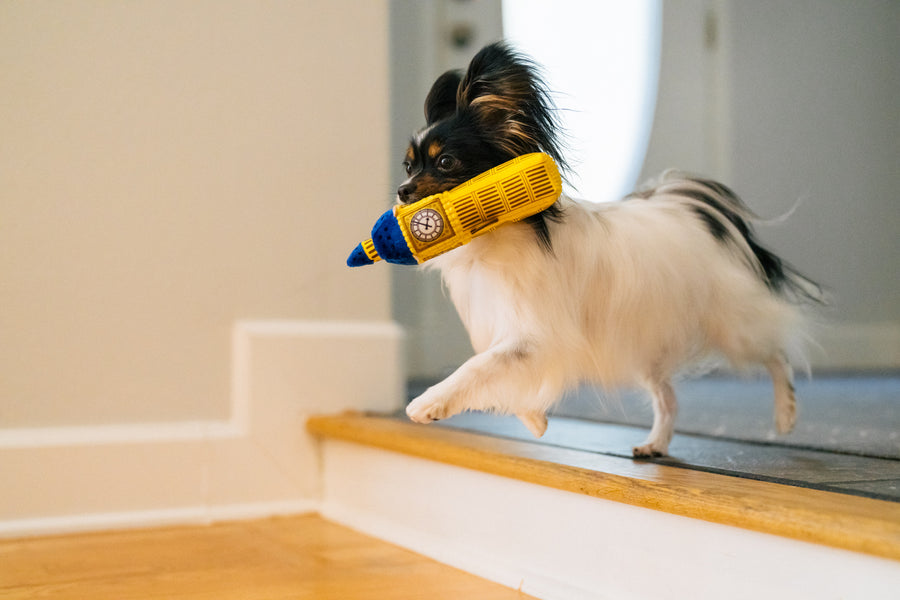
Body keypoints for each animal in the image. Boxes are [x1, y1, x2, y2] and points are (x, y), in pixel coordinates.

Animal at [402, 41, 824, 454]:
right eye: (408, 166)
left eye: (445, 162)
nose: (402, 191)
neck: (498, 237)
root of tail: (686, 206)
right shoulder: (516, 332)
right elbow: (502, 376)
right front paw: (535, 422)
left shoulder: (535, 336)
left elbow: (480, 367)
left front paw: (428, 402)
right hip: (644, 343)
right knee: (668, 398)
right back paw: (656, 444)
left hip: (734, 329)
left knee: (776, 352)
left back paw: (786, 413)